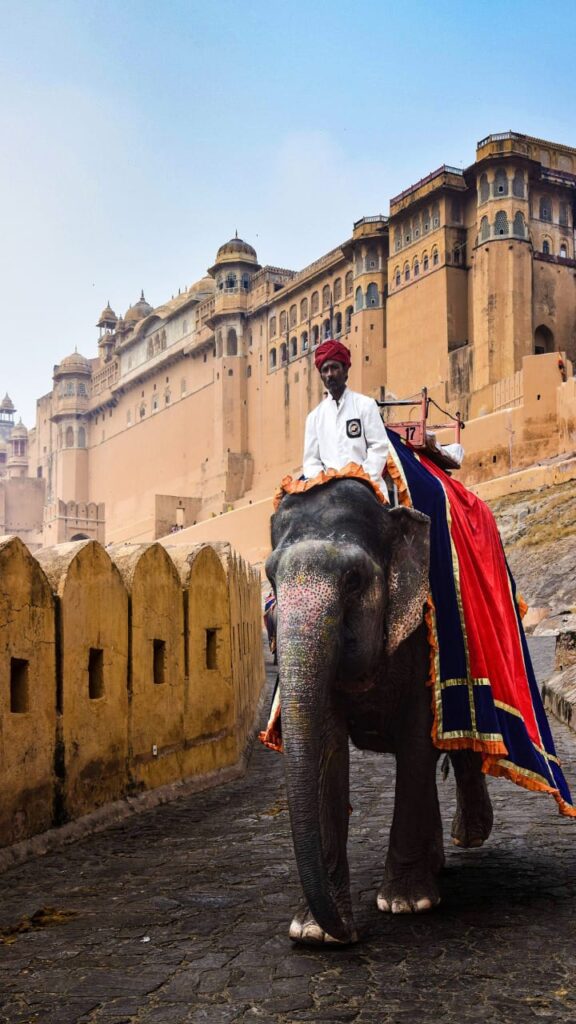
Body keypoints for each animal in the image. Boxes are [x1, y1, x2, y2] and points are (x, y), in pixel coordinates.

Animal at [266, 475, 494, 946]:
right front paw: (315, 933)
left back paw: (468, 838)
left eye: (353, 580)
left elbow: (418, 740)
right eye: (269, 578)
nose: (353, 938)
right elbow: (326, 748)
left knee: (458, 748)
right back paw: (437, 863)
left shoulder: (423, 630)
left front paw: (406, 905)